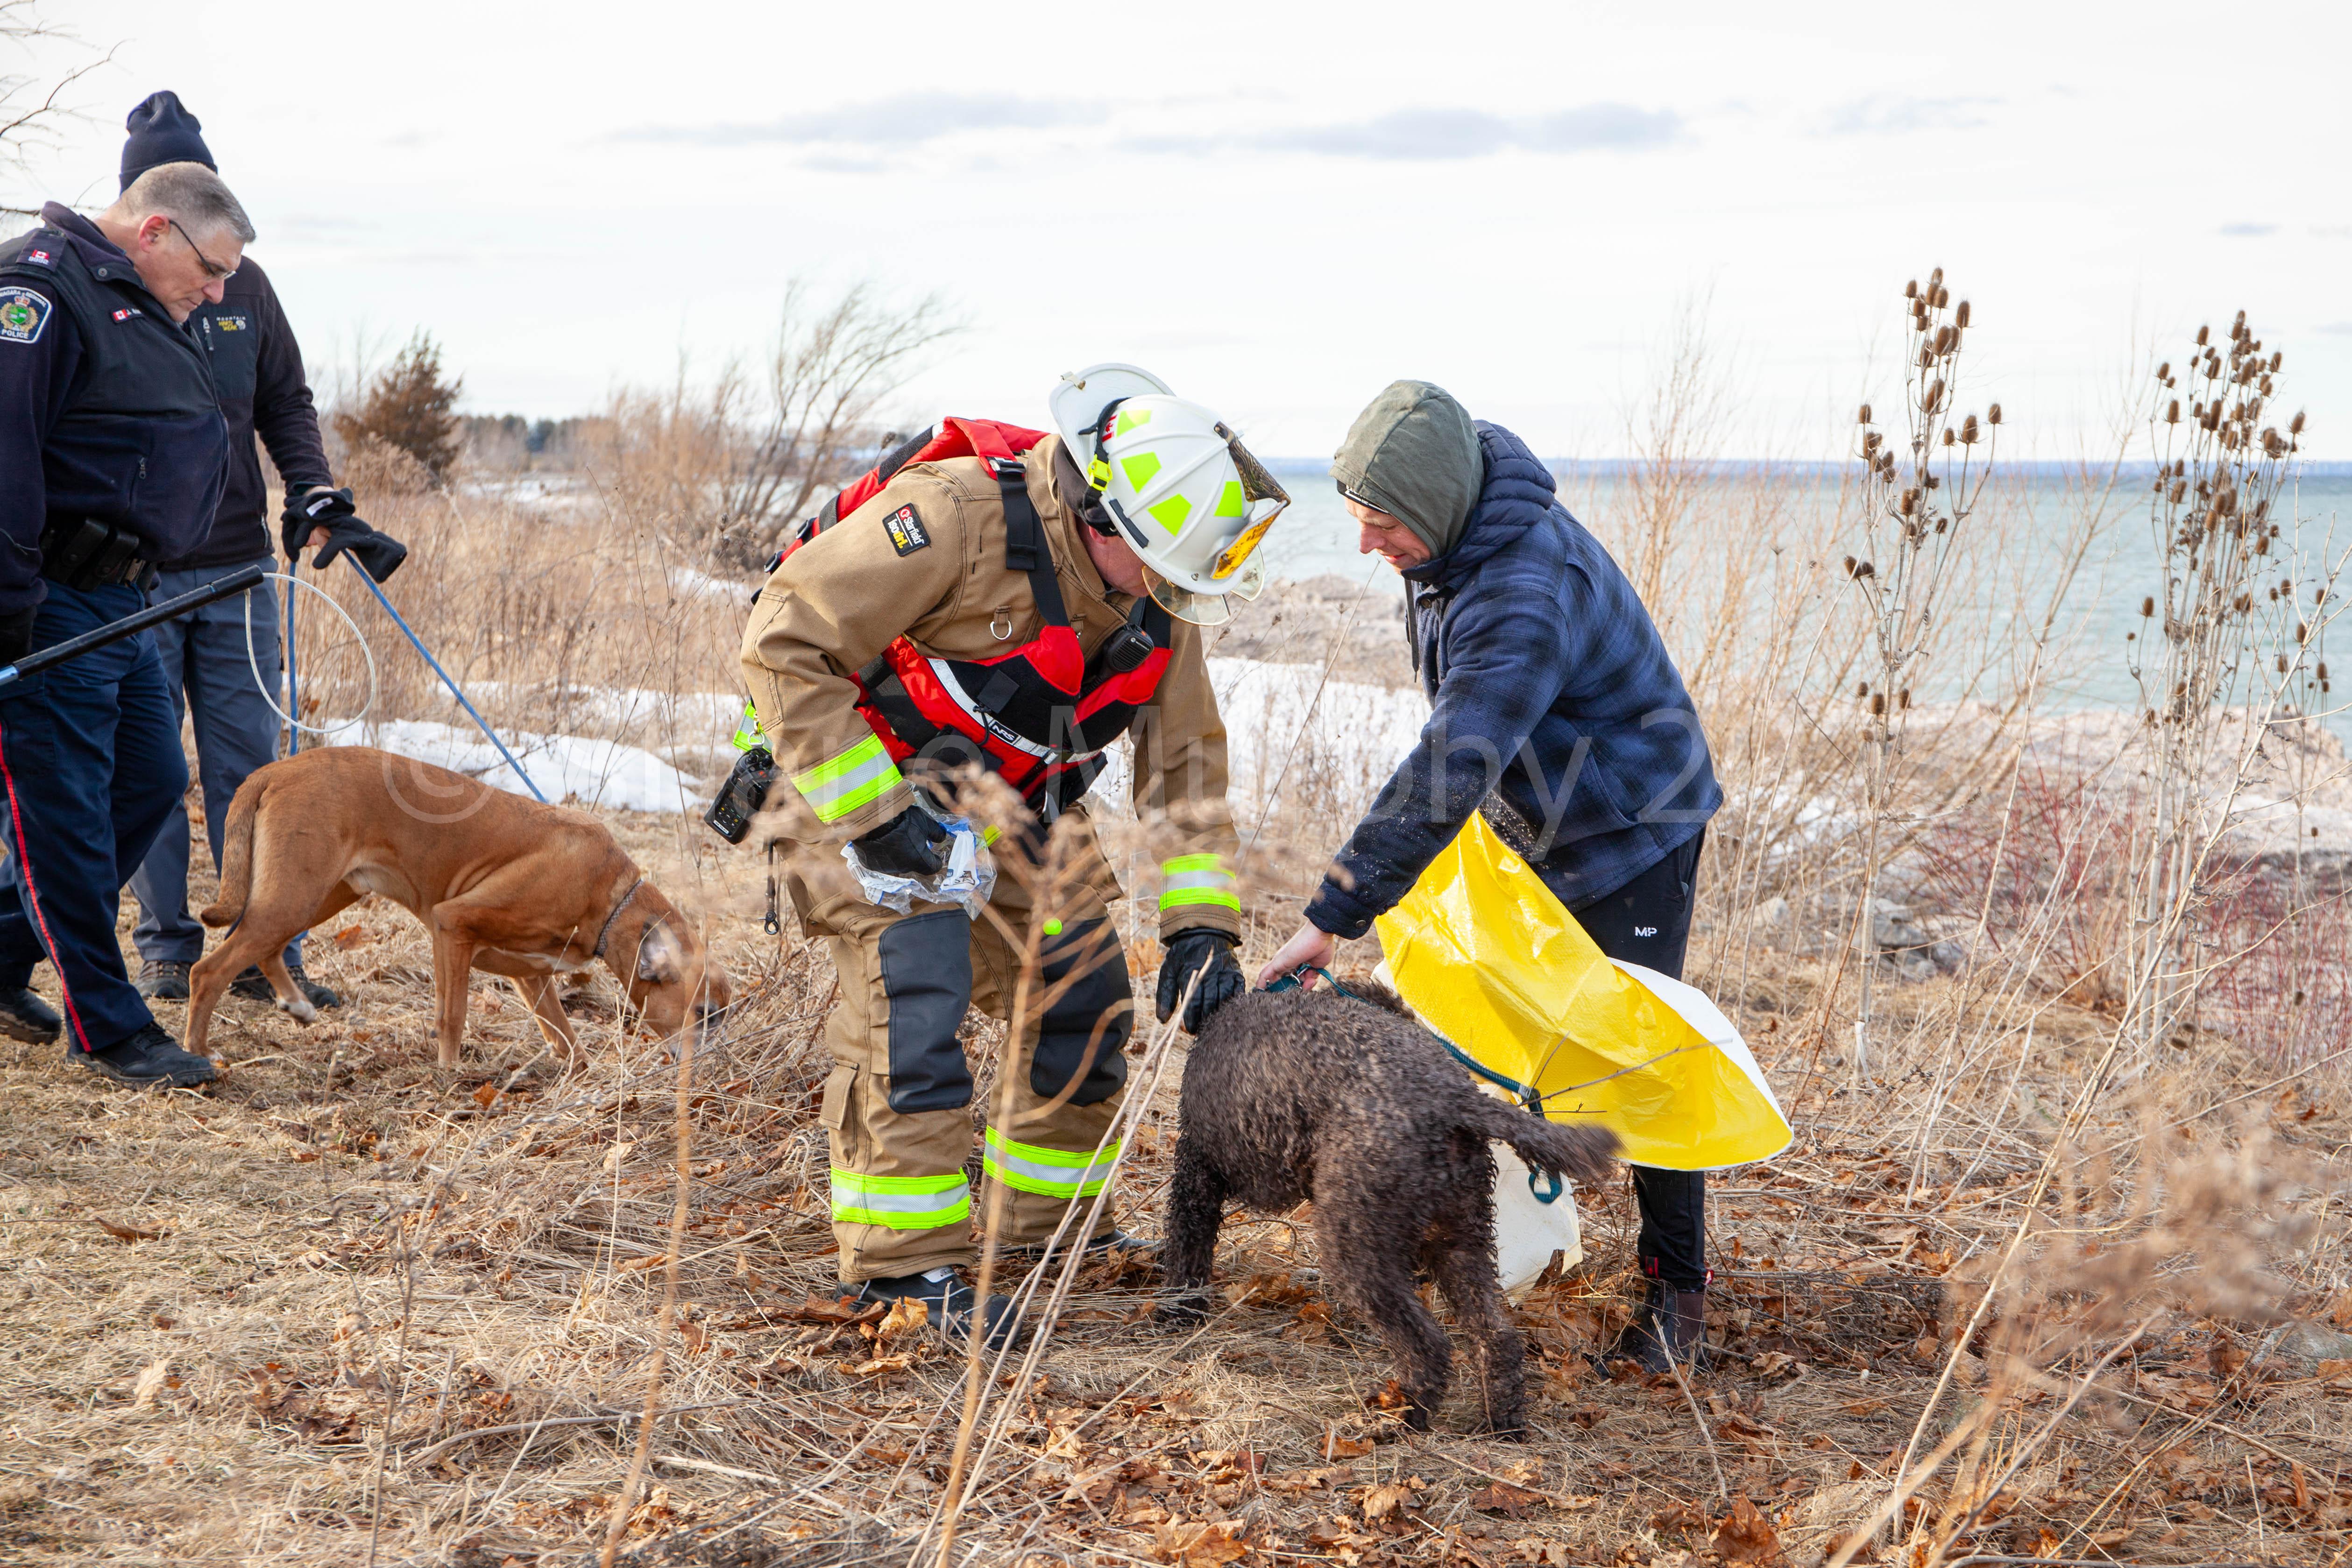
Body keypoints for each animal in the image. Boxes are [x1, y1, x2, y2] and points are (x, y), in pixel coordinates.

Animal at [187, 747, 724, 1067]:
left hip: (318, 895)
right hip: (295, 896)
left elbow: (563, 1037)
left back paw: (295, 1004)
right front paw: (450, 1075)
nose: (711, 1065)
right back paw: (199, 1054)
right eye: (704, 1014)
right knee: (208, 970)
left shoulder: (531, 975)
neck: (610, 899)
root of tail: (277, 768)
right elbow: (454, 1015)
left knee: (263, 948)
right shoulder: (453, 926)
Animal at [1157, 987, 1618, 1439]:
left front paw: (1177, 1314)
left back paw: (1399, 1417)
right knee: (1497, 1336)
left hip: (1355, 1246)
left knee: (1429, 1345)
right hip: (1460, 1238)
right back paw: (1501, 1424)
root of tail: (1454, 1097)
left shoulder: (1196, 1176)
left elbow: (1187, 1253)